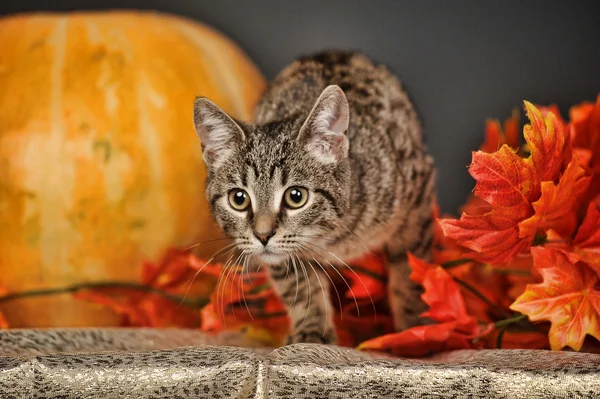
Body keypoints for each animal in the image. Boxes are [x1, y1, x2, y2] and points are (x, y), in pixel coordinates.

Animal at [195, 49, 434, 344]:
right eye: (238, 199)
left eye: (296, 197)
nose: (262, 235)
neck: (333, 236)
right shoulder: (284, 258)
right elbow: (300, 288)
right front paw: (312, 331)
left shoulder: (417, 199)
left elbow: (411, 269)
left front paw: (414, 329)